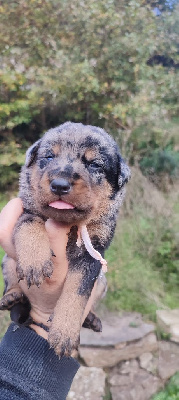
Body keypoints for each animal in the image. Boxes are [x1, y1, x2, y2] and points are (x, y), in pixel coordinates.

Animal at [0, 122, 130, 356]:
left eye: (94, 164)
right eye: (49, 156)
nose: (60, 184)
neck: (68, 224)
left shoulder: (93, 254)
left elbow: (77, 292)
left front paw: (64, 332)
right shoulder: (27, 209)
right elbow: (30, 224)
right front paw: (34, 261)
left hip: (102, 282)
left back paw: (91, 318)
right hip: (7, 261)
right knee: (11, 281)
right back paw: (12, 296)